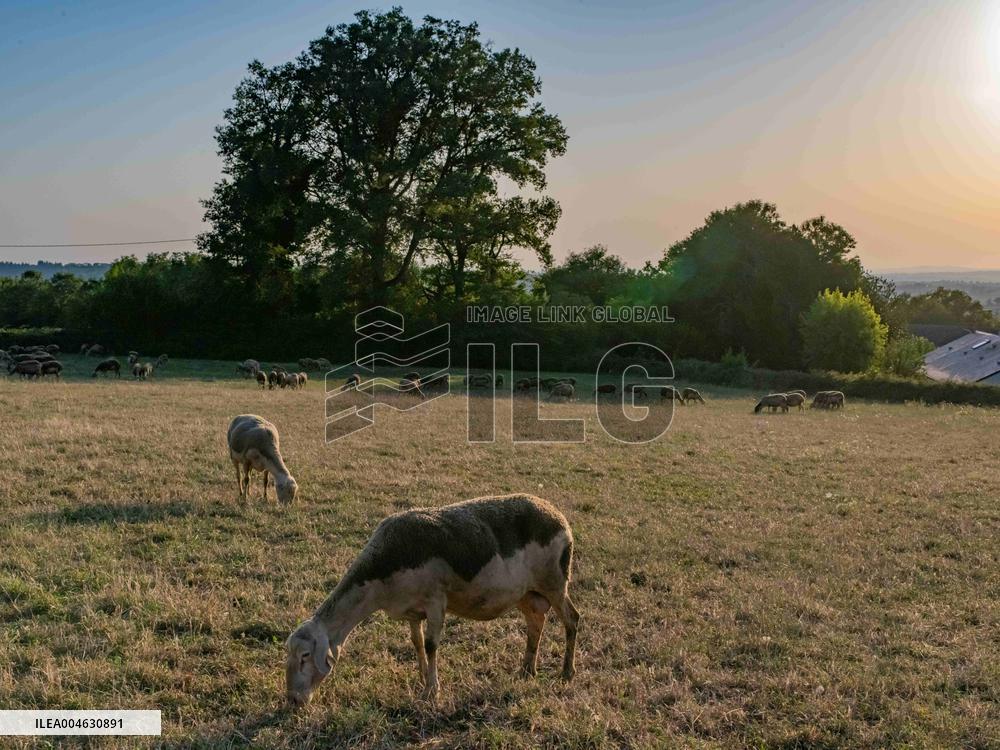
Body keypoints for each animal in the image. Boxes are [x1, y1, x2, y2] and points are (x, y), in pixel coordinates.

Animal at [284, 493, 579, 707]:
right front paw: (422, 679)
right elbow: (416, 643)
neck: (379, 582)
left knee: (572, 619)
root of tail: (558, 517)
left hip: (555, 581)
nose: (293, 701)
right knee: (535, 622)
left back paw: (566, 673)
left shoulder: (436, 600)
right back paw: (527, 670)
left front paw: (431, 691)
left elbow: (431, 645)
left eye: (305, 656)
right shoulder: (412, 611)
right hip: (528, 593)